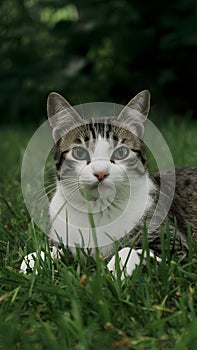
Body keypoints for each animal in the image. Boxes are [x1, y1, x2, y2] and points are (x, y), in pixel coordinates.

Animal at [20, 91, 197, 276]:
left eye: (121, 152)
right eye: (79, 153)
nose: (101, 172)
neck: (99, 209)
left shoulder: (174, 243)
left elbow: (134, 249)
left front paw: (116, 269)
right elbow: (51, 249)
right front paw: (34, 261)